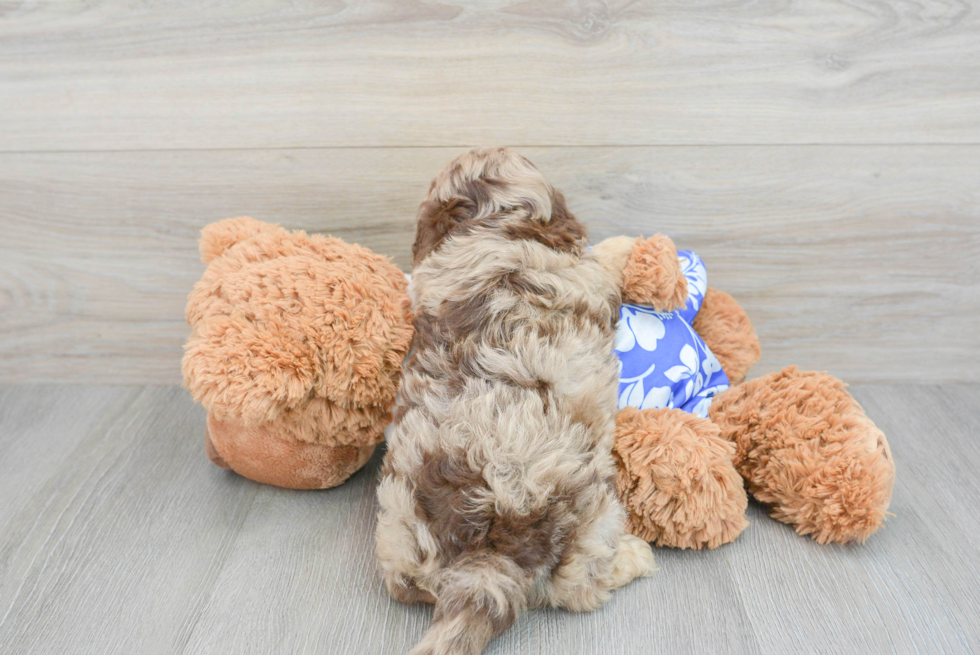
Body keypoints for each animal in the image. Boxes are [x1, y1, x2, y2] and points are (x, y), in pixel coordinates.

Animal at [378, 149, 656, 655]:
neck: (487, 223)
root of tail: (491, 545)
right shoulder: (587, 273)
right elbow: (604, 259)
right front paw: (626, 243)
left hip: (401, 534)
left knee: (407, 584)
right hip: (594, 514)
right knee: (580, 585)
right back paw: (634, 556)